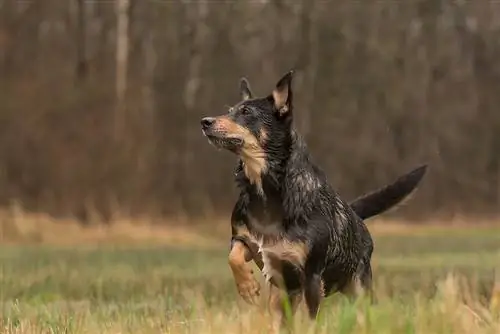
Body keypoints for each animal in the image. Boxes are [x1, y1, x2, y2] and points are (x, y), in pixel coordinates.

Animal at [199, 70, 426, 328]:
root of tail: (355, 216)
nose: (205, 122)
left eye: (247, 112)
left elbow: (310, 320)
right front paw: (247, 286)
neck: (267, 191)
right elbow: (234, 256)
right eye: (229, 110)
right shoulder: (248, 242)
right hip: (282, 296)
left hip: (358, 289)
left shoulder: (312, 276)